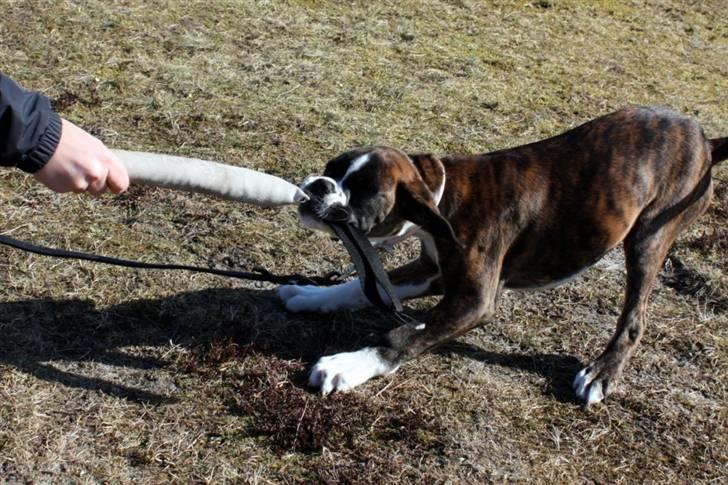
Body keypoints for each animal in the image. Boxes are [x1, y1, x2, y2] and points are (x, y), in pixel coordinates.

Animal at [278, 106, 728, 404]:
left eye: (360, 191)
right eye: (331, 168)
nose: (317, 186)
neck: (443, 194)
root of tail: (705, 139)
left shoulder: (473, 300)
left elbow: (402, 336)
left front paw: (346, 365)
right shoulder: (431, 270)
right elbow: (360, 287)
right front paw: (310, 296)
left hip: (650, 238)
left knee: (635, 318)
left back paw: (601, 373)